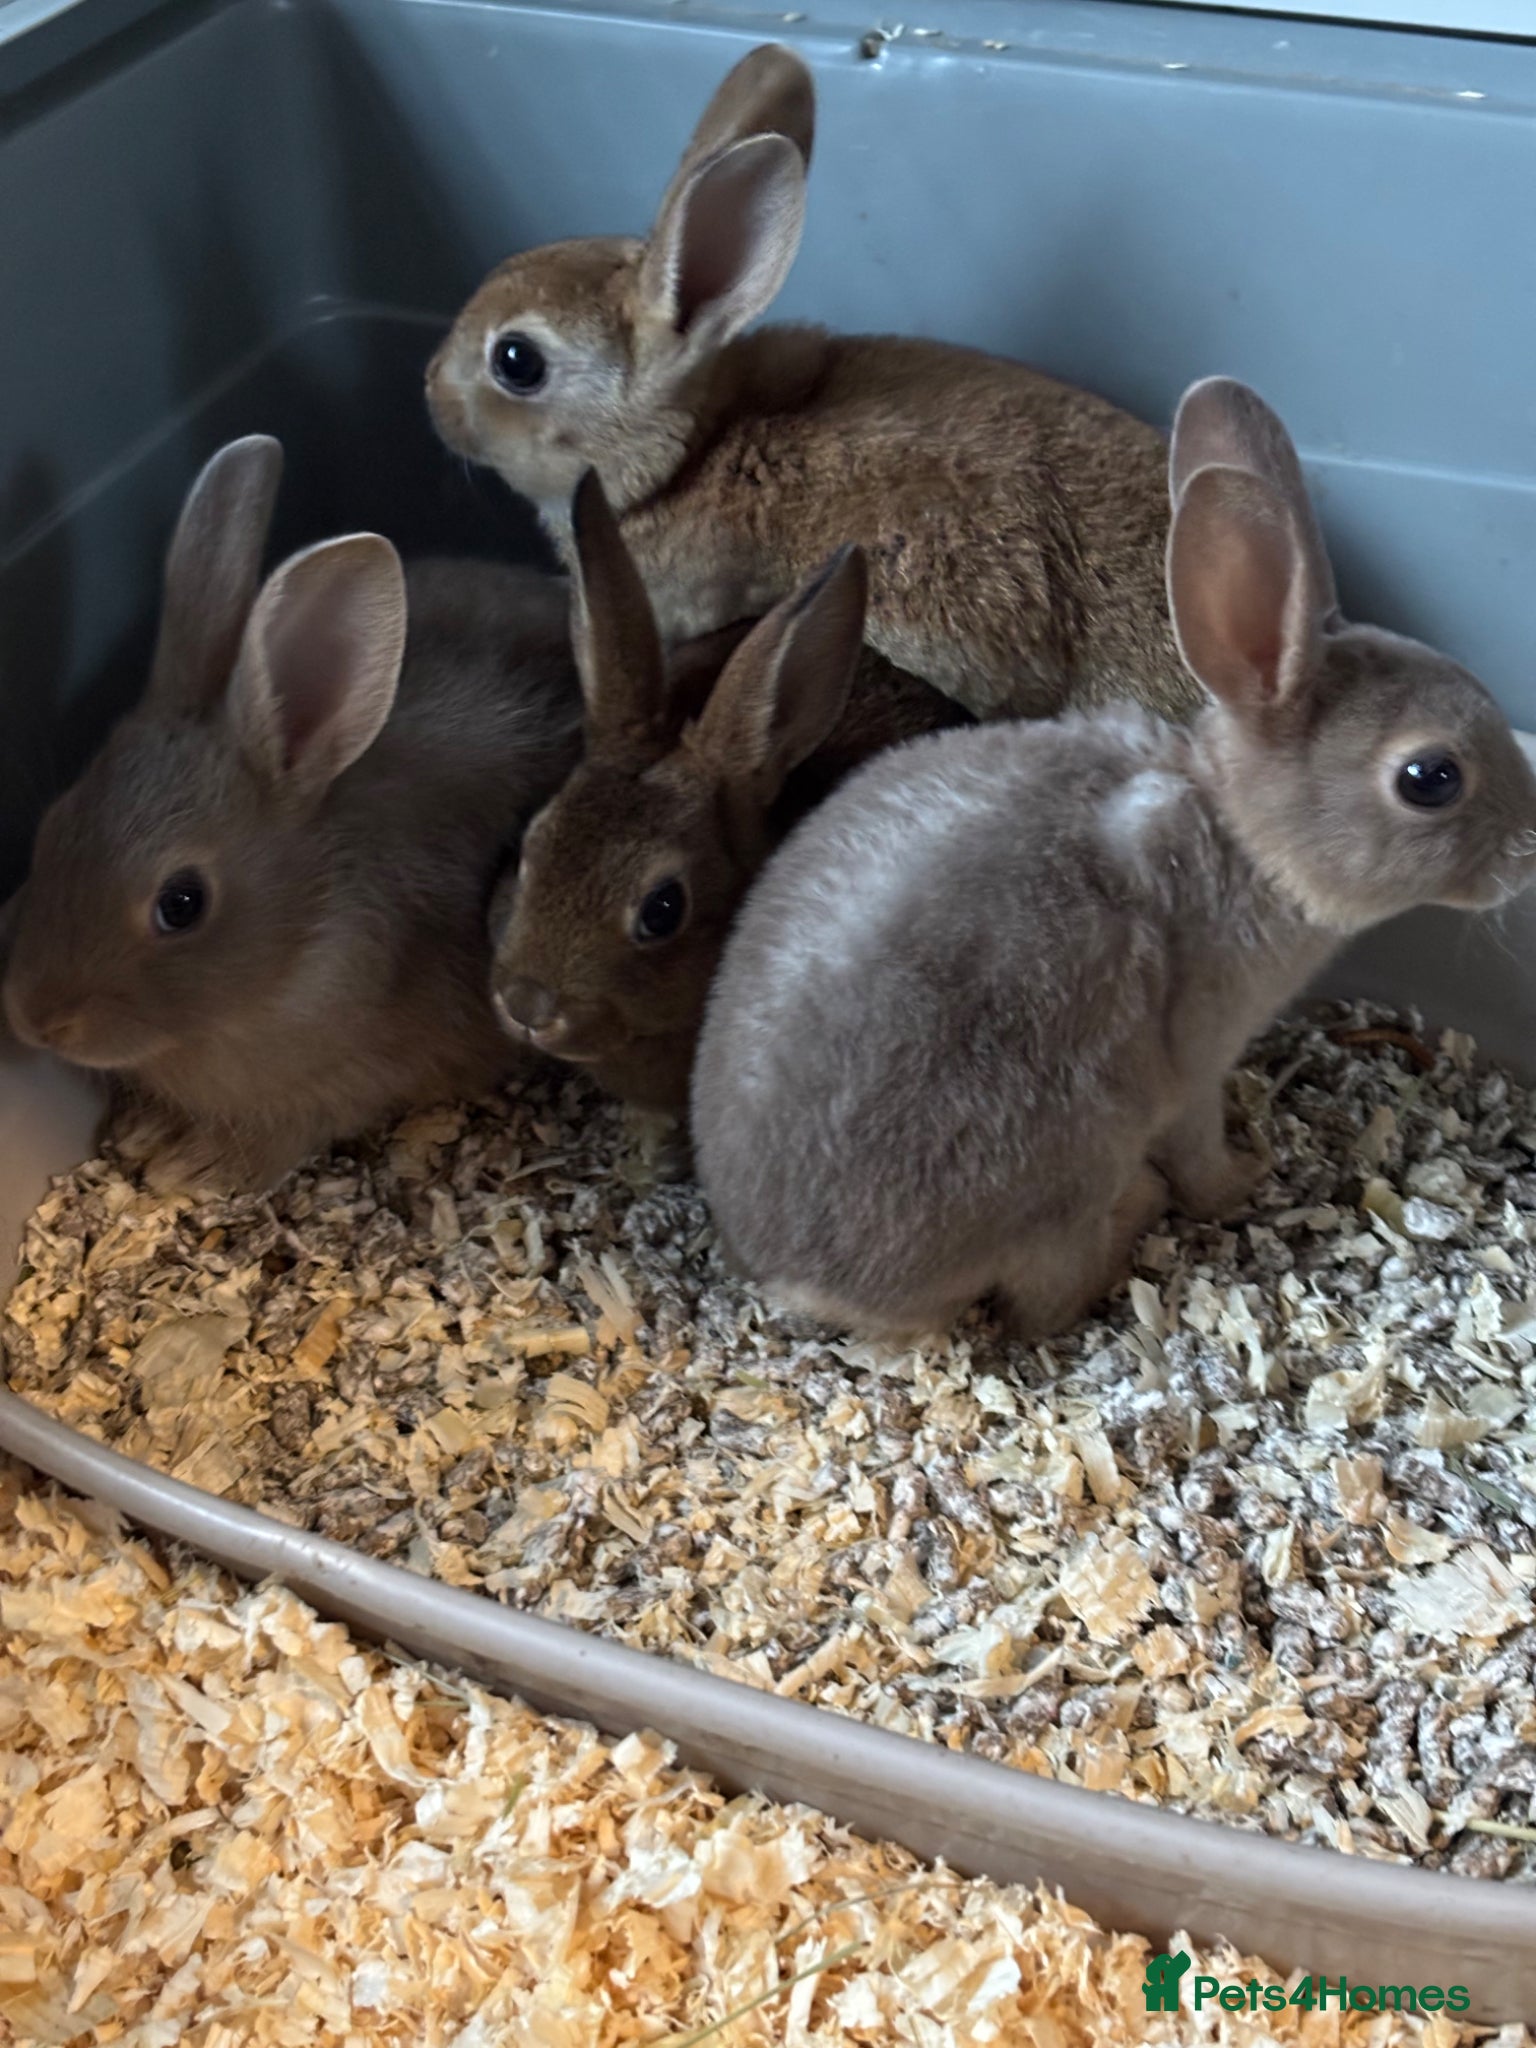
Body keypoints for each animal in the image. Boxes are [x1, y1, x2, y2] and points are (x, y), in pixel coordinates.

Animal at [1, 434, 584, 1196]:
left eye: (182, 903)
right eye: (51, 829)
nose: (35, 1020)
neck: (305, 935)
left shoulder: (350, 1081)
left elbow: (280, 1136)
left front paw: (181, 1163)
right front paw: (143, 1134)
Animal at [690, 377, 1536, 1342]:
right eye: (1431, 778)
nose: (1528, 852)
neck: (1240, 833)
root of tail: (804, 1284)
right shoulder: (1196, 1063)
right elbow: (1199, 1155)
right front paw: (1246, 1175)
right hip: (1066, 1153)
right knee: (1049, 1298)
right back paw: (1138, 1210)